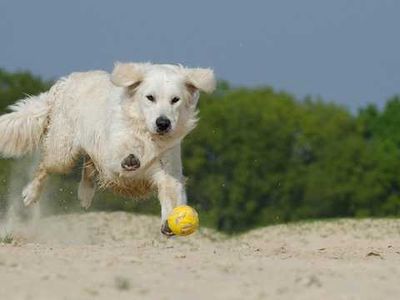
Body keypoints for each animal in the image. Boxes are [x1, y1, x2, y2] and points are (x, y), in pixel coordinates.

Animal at [0, 62, 216, 234]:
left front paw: (169, 222)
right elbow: (123, 157)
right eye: (150, 97)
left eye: (175, 99)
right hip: (63, 152)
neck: (146, 135)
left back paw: (85, 194)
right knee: (45, 167)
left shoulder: (169, 171)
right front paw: (131, 159)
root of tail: (64, 83)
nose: (163, 123)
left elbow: (170, 190)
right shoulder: (111, 158)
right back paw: (30, 194)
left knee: (88, 164)